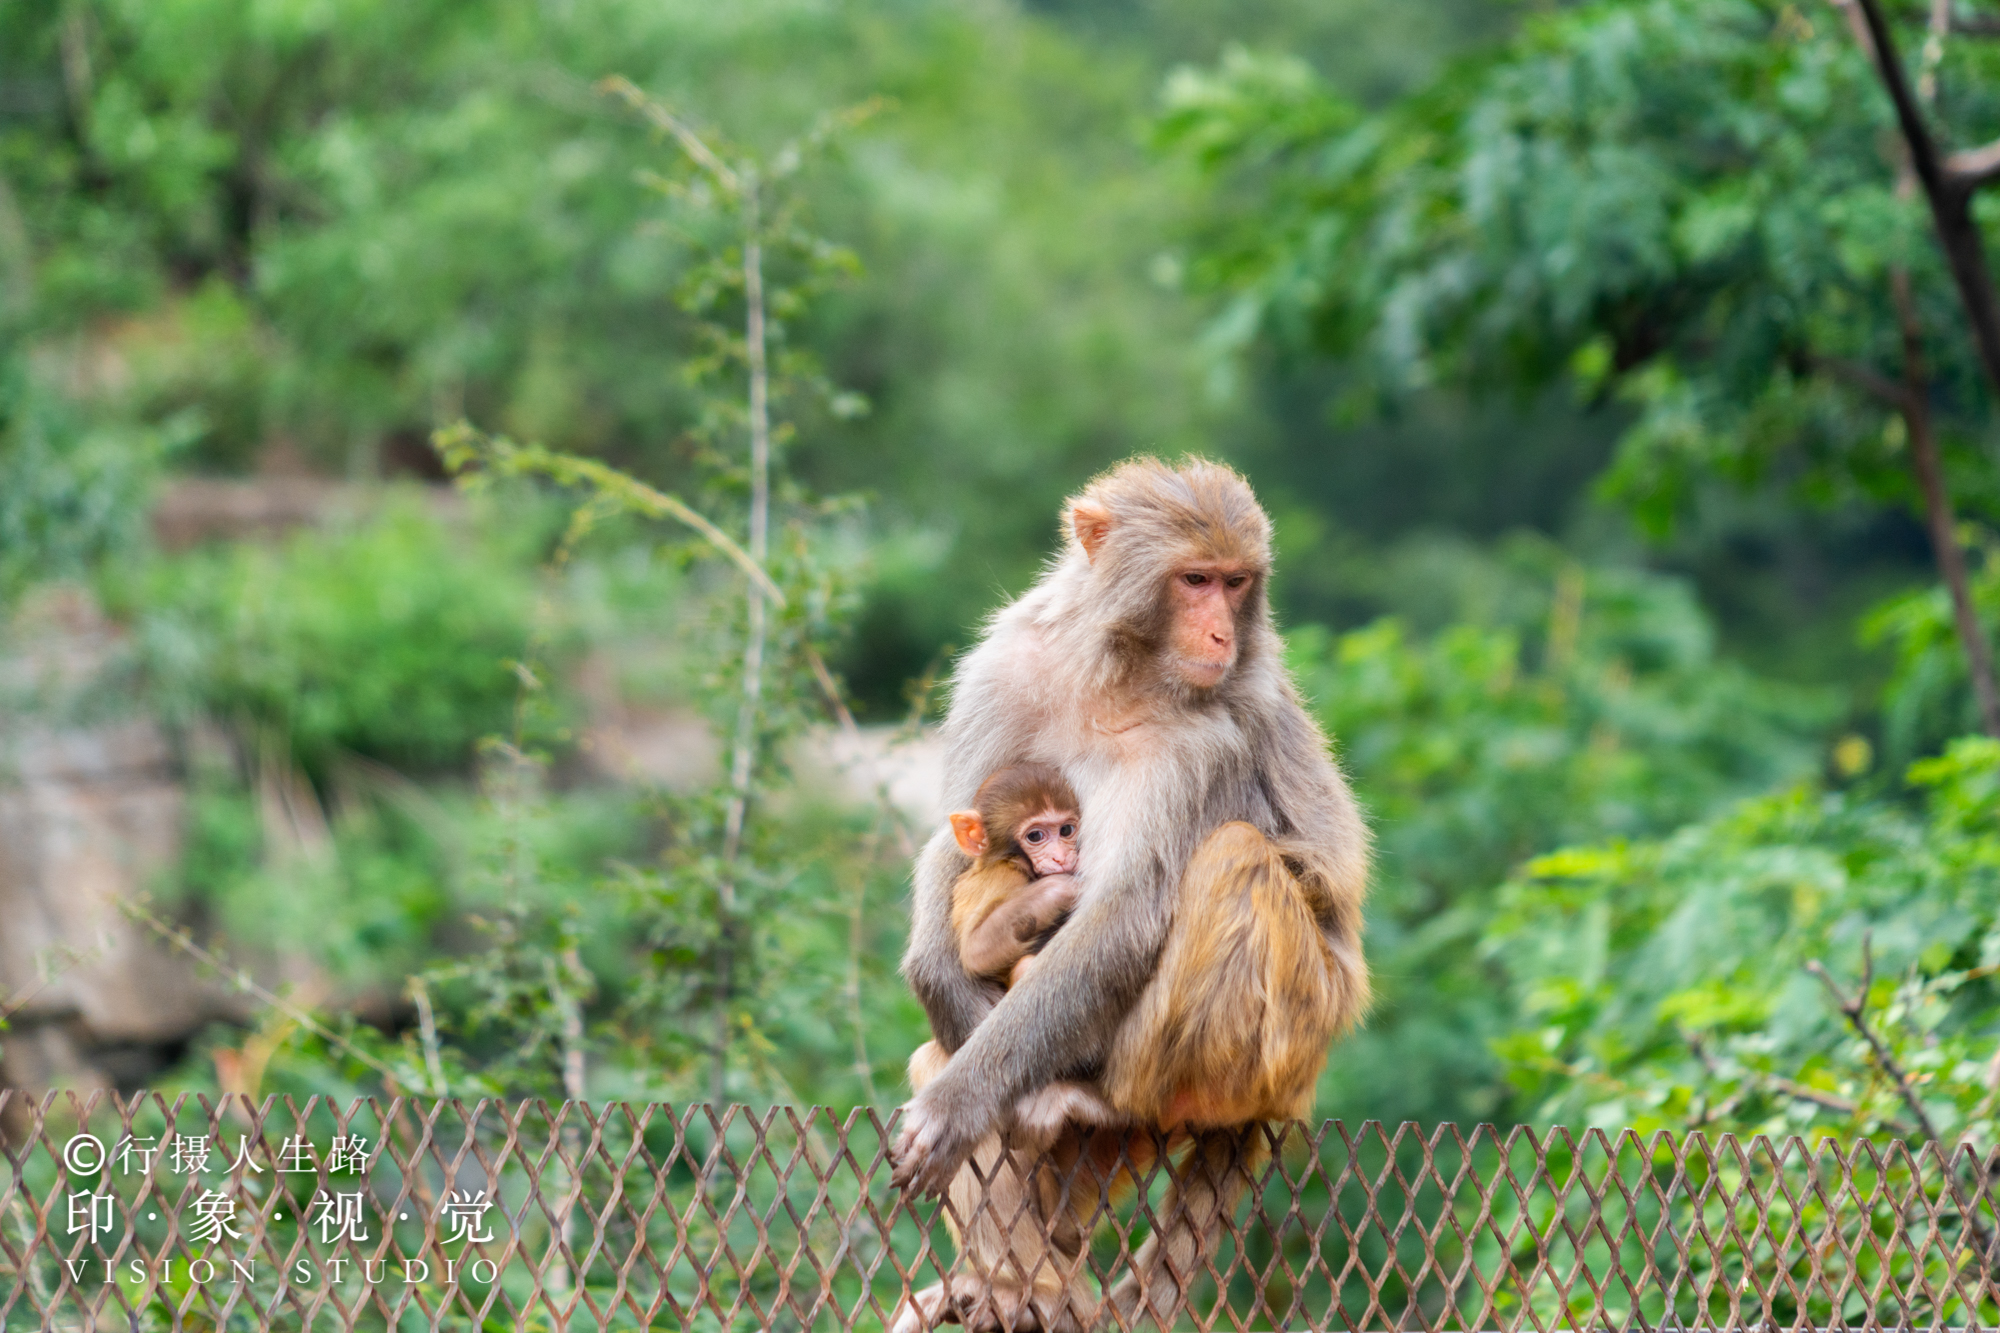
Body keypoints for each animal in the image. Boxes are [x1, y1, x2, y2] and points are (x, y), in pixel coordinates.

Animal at [888, 457, 1370, 1332]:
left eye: (1235, 583)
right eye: (1195, 580)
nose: (1220, 635)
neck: (1116, 668)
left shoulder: (1203, 737)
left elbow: (1128, 909)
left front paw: (963, 1100)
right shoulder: (1004, 663)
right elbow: (957, 838)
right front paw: (947, 992)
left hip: (1296, 1028)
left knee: (1233, 855)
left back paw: (1106, 1101)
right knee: (936, 1056)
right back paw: (1020, 1285)